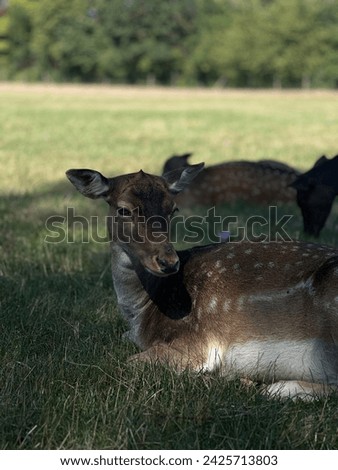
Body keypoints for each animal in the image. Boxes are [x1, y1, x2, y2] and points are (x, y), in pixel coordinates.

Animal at [66, 162, 338, 400]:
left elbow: (124, 363)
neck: (142, 313)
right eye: (123, 209)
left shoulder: (197, 342)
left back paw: (273, 387)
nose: (168, 261)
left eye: (173, 209)